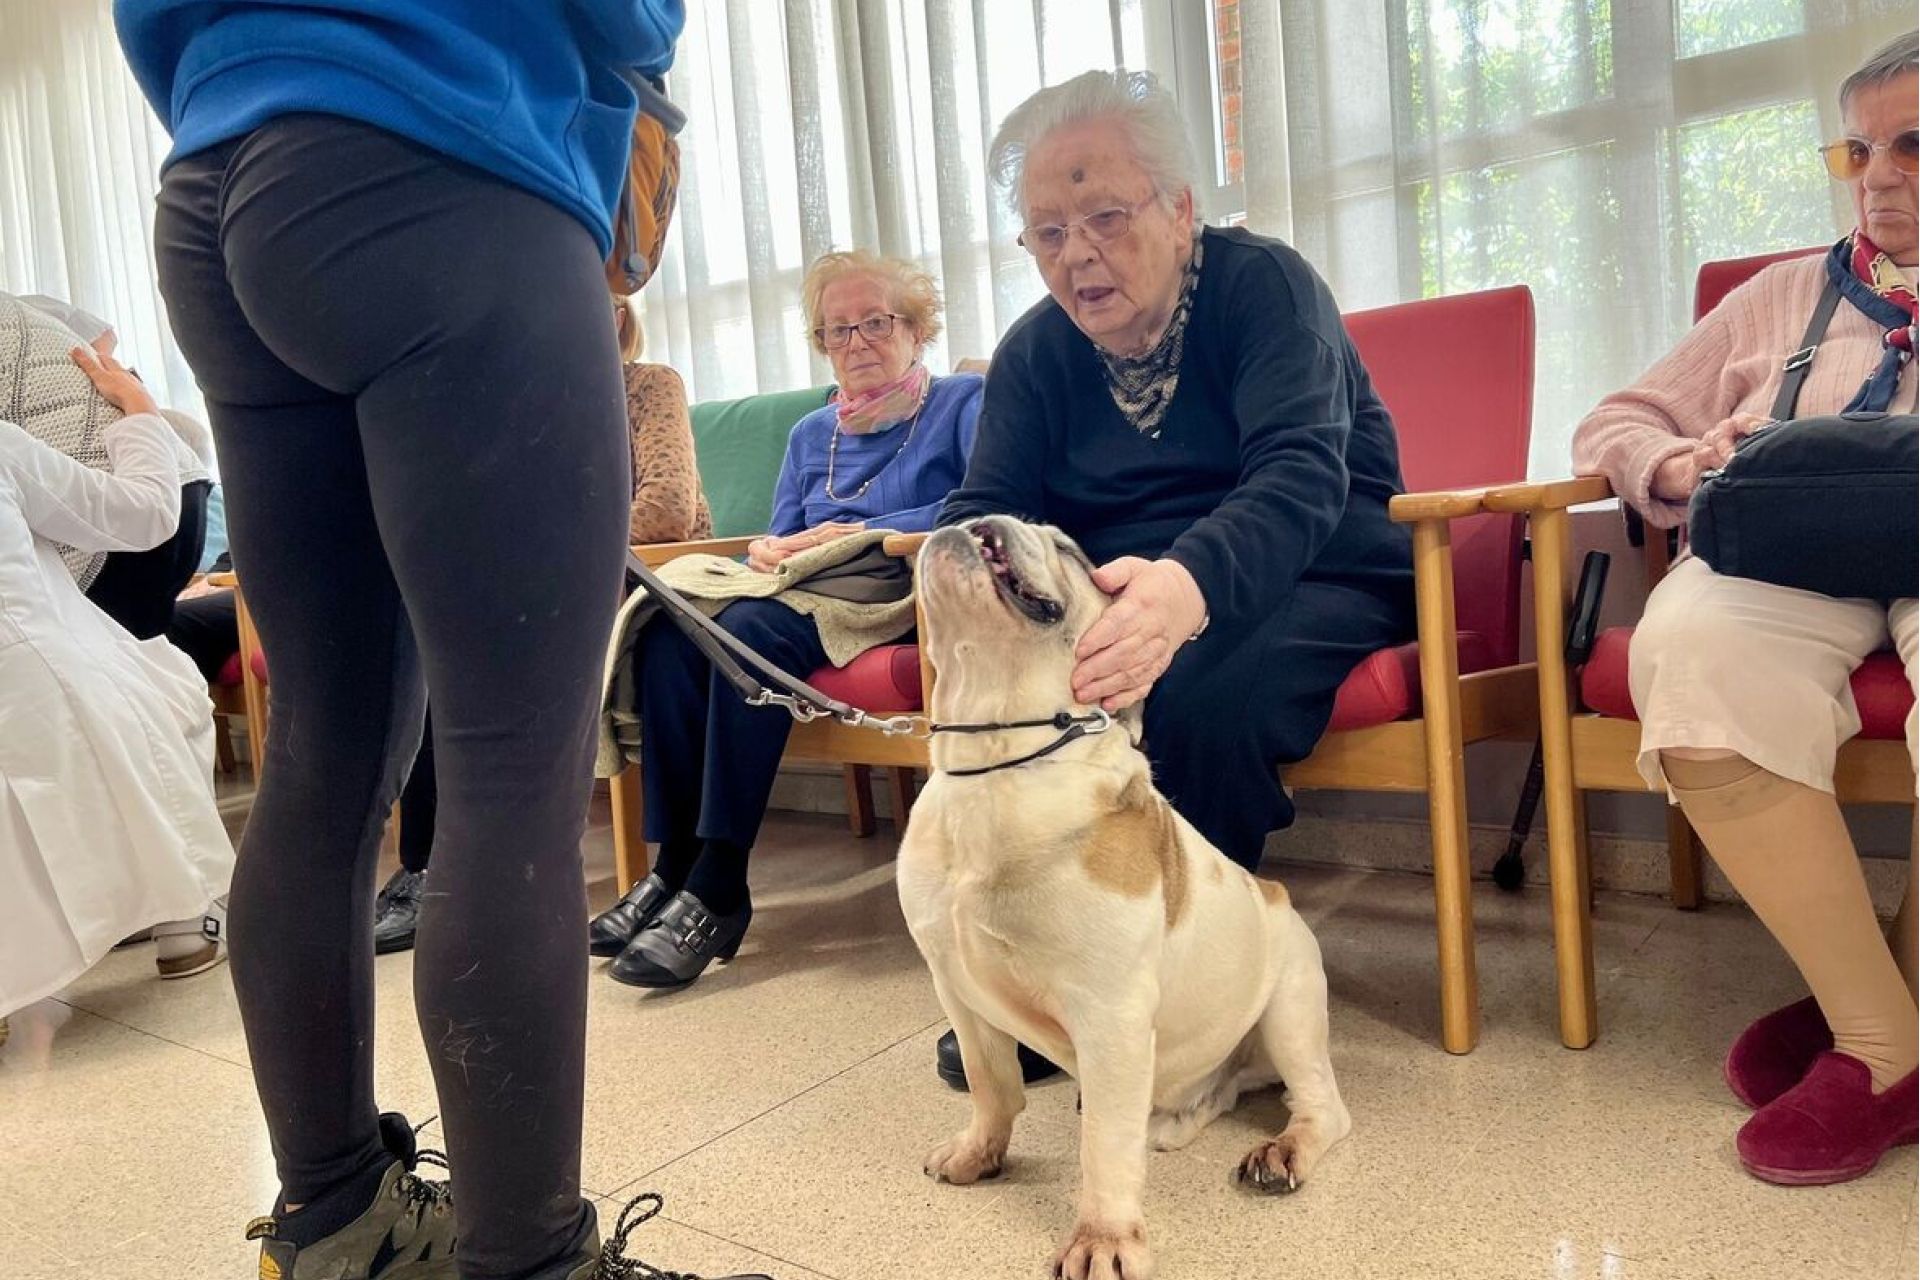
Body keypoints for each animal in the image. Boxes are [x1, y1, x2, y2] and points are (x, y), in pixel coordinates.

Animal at [898, 514, 1351, 1274]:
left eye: (1071, 552)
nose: (979, 516)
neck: (995, 765)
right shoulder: (956, 985)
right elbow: (993, 1085)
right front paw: (978, 1153)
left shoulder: (1109, 1015)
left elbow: (1103, 1147)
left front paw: (1104, 1240)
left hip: (1289, 1009)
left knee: (1322, 1105)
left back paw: (1281, 1152)